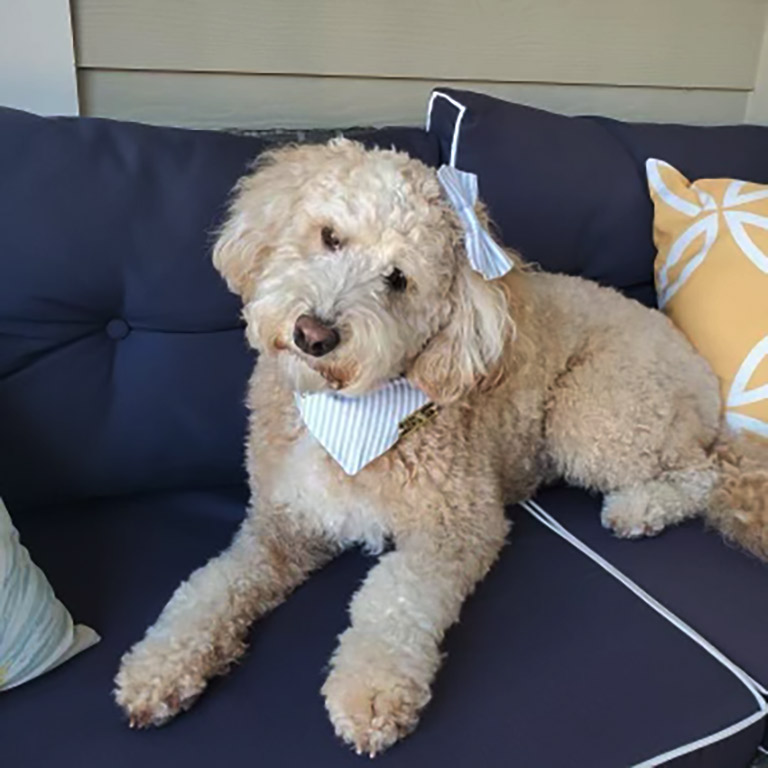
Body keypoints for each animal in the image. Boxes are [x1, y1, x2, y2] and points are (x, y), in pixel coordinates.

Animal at [114, 138, 768, 756]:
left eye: (398, 280)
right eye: (329, 237)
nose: (313, 334)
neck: (350, 413)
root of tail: (693, 363)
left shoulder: (457, 524)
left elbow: (394, 599)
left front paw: (370, 694)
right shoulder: (281, 524)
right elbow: (213, 585)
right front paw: (158, 668)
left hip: (594, 413)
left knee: (701, 472)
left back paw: (639, 508)